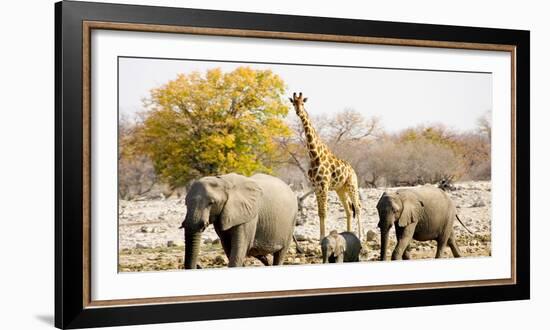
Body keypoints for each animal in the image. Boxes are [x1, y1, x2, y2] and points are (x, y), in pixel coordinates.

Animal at [288, 91, 362, 238]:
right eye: (294, 103)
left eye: (303, 103)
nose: (298, 112)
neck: (315, 156)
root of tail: (353, 170)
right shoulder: (316, 187)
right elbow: (320, 213)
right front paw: (321, 237)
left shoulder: (324, 185)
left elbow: (324, 212)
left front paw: (322, 237)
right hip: (340, 189)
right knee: (348, 209)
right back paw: (349, 233)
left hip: (352, 185)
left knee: (357, 207)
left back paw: (360, 235)